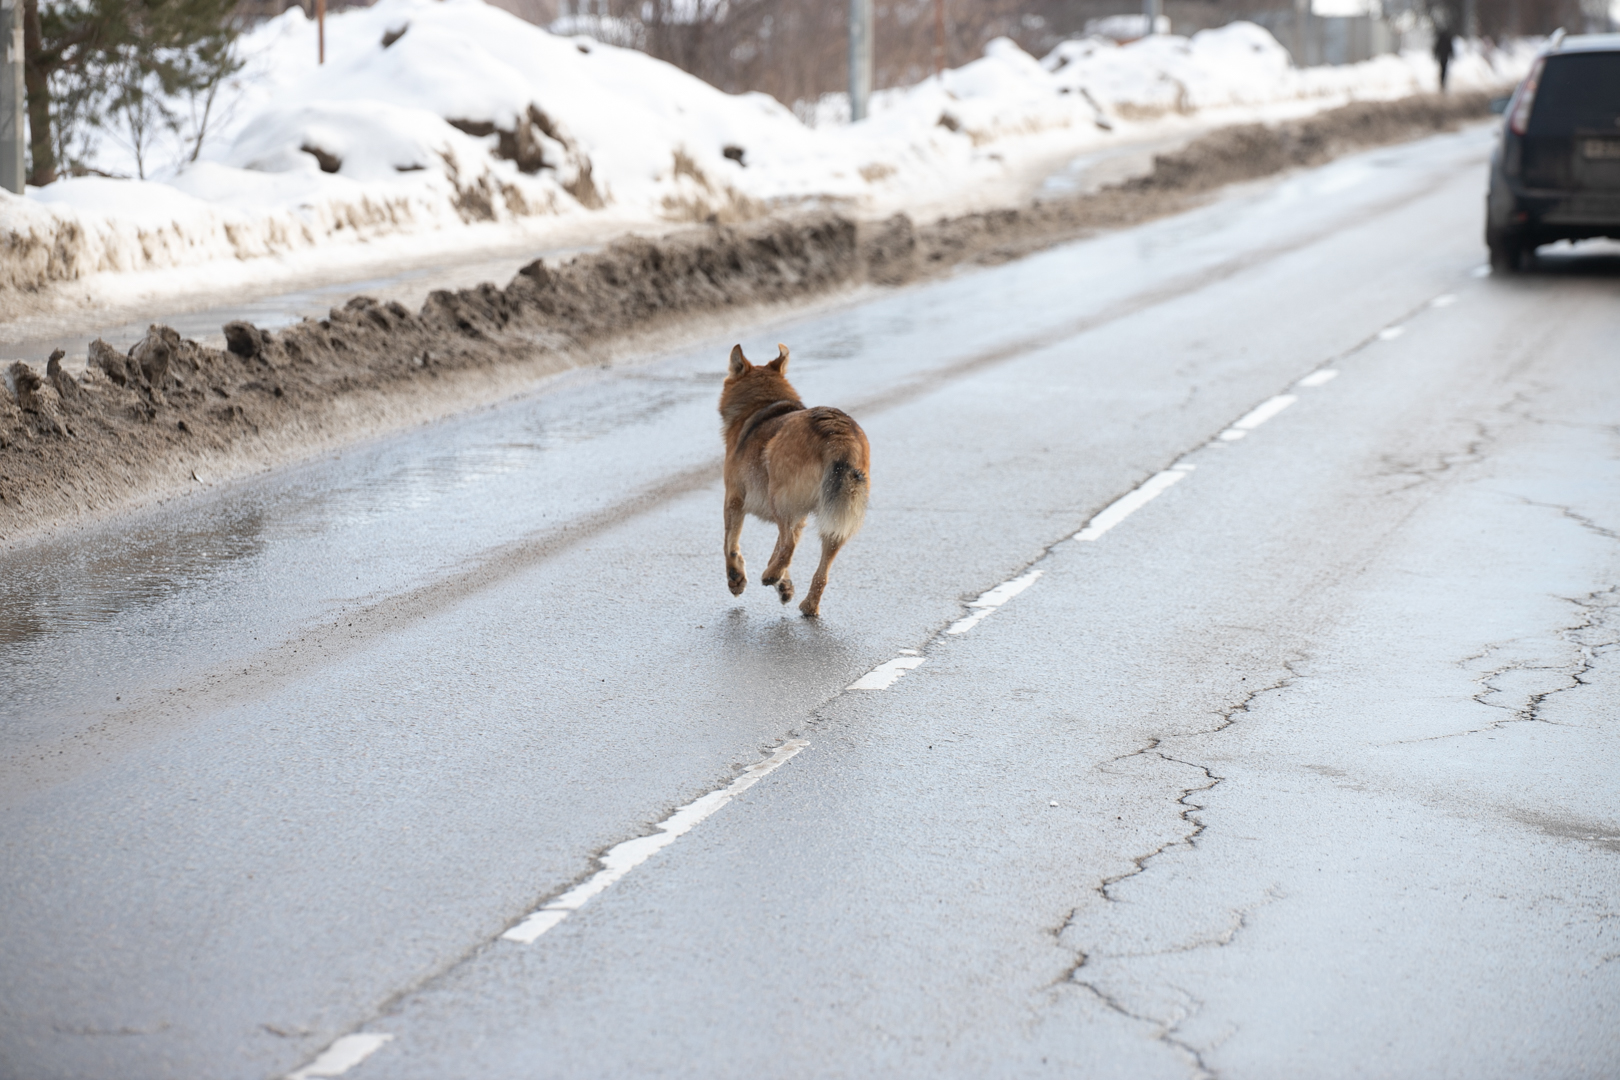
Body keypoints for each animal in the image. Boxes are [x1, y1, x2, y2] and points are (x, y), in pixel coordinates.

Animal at [722, 344, 874, 615]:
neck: (764, 404)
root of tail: (839, 435)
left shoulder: (734, 498)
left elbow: (730, 545)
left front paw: (736, 579)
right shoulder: (801, 515)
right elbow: (776, 547)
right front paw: (785, 585)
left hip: (779, 499)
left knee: (789, 545)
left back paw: (770, 576)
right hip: (838, 517)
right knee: (819, 569)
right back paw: (808, 605)